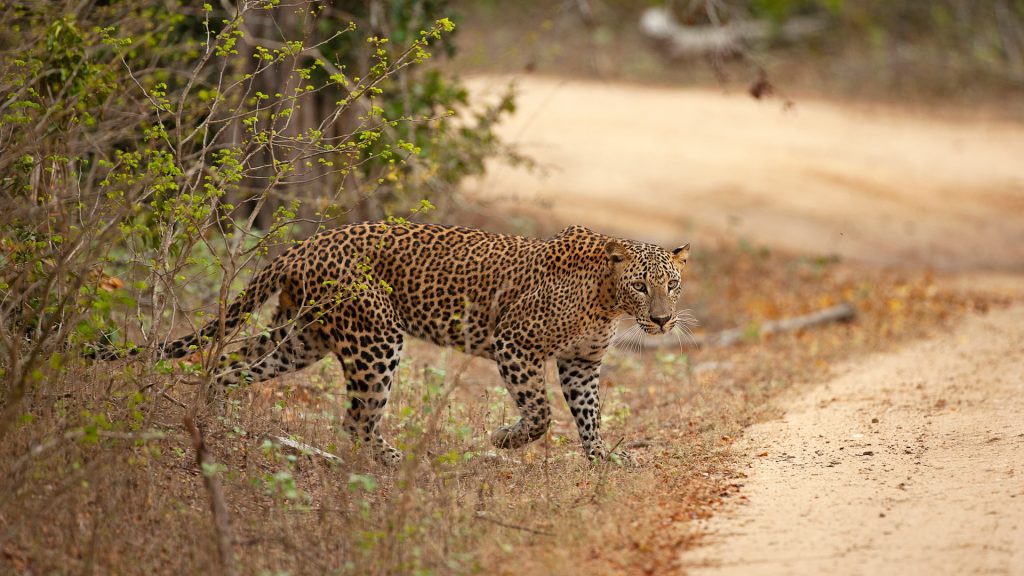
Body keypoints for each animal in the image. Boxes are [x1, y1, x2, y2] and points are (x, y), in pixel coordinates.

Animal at [96, 222, 692, 463]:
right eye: (642, 285)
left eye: (673, 284)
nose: (663, 321)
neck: (608, 300)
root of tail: (305, 245)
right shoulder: (515, 344)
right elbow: (541, 414)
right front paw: (505, 440)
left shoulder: (580, 364)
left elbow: (590, 415)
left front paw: (602, 460)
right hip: (375, 337)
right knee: (357, 419)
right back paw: (397, 461)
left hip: (300, 336)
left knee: (229, 367)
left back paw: (210, 420)